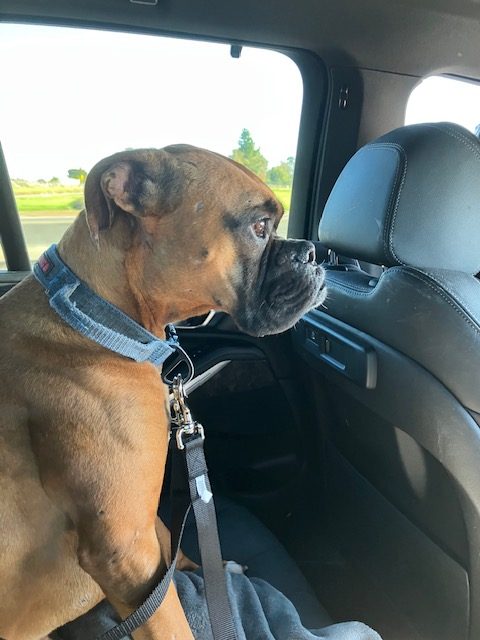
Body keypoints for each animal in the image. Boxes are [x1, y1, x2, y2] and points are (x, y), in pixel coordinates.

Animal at [0, 145, 326, 640]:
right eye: (259, 228)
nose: (311, 251)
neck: (101, 320)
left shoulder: (143, 524)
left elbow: (171, 546)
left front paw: (211, 569)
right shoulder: (123, 551)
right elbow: (170, 618)